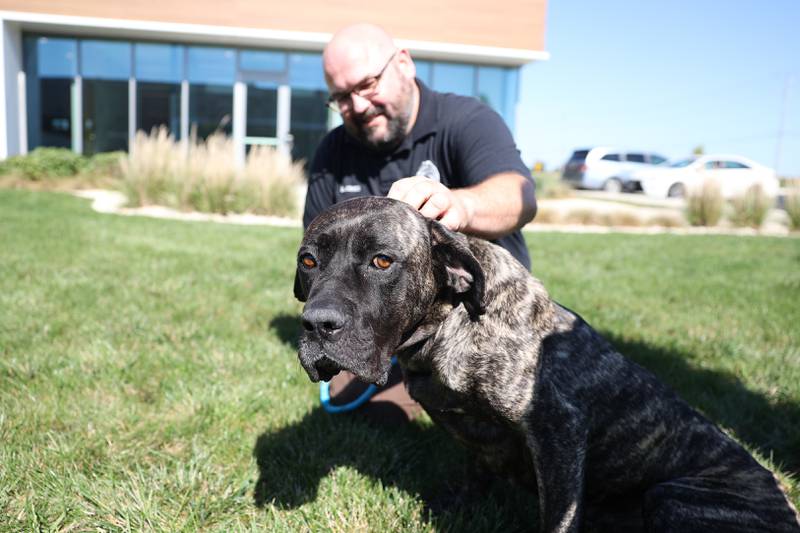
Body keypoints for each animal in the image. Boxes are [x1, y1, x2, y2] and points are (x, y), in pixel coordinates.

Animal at [294, 196, 800, 532]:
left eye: (382, 261)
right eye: (308, 261)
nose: (317, 324)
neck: (446, 323)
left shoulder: (559, 429)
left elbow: (558, 516)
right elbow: (474, 469)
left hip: (672, 495)